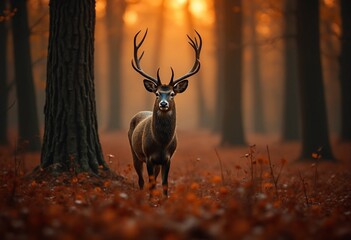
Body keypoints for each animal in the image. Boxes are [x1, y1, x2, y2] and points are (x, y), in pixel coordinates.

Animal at [129, 29, 201, 197]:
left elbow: (164, 184)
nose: (163, 103)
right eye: (157, 93)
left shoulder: (168, 158)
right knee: (141, 180)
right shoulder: (148, 156)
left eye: (172, 93)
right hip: (134, 152)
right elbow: (149, 183)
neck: (161, 143)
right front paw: (150, 200)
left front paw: (164, 200)